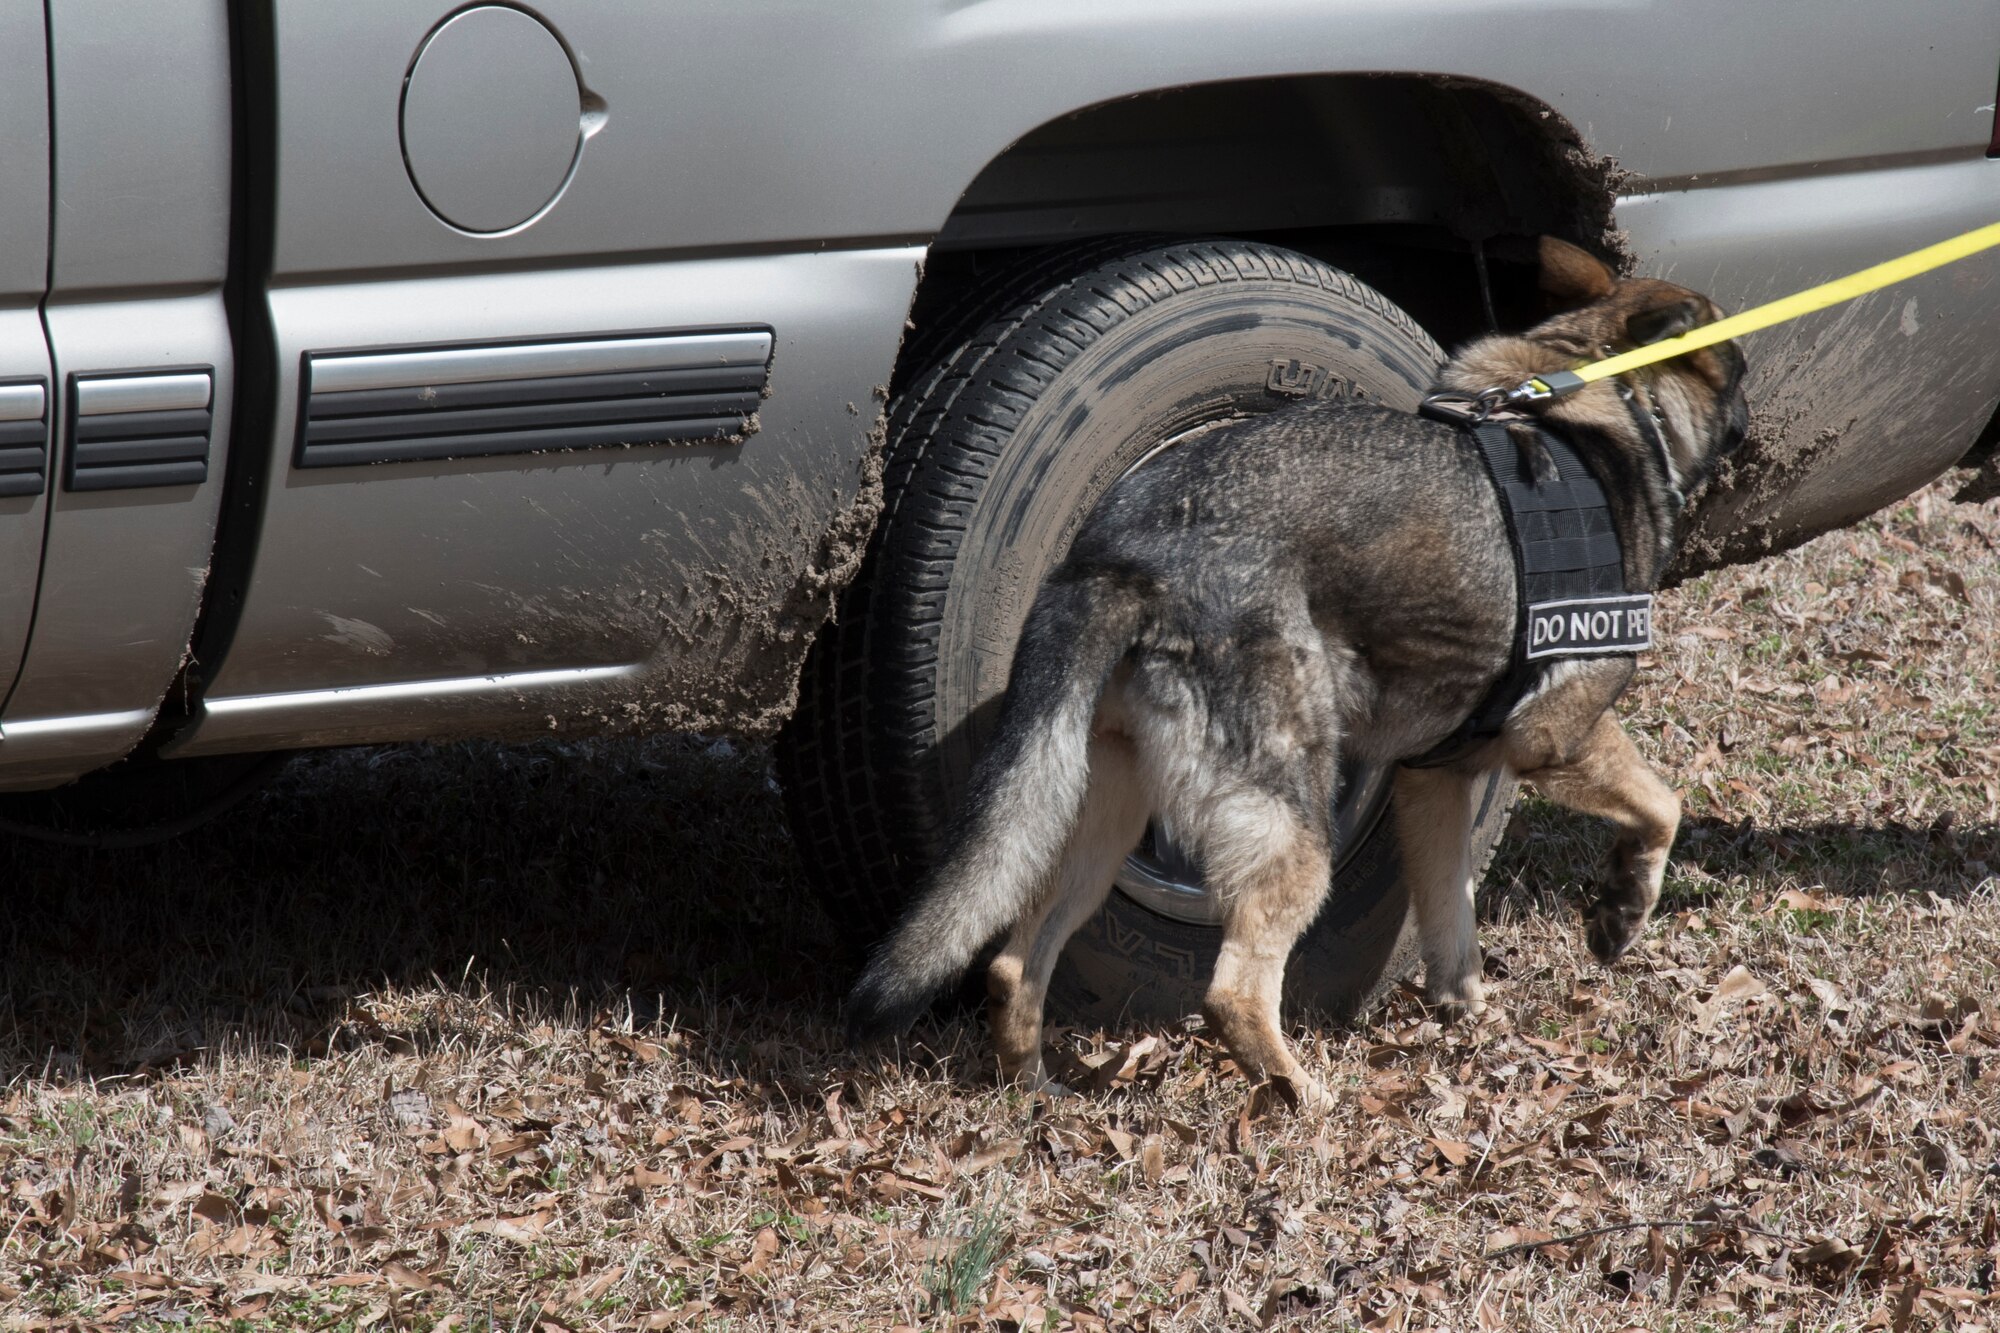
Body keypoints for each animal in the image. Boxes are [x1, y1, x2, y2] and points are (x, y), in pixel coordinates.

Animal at [852, 241, 1744, 1112]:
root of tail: (1126, 558)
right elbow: (1662, 804)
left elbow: (1450, 913)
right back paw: (1302, 1093)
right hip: (1295, 826)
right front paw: (1622, 911)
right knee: (1233, 991)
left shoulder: (1435, 780)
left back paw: (1033, 1086)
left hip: (1106, 816)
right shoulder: (1556, 732)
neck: (1600, 388)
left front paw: (1469, 1013)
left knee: (1014, 961)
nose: (1747, 413)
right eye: (1733, 362)